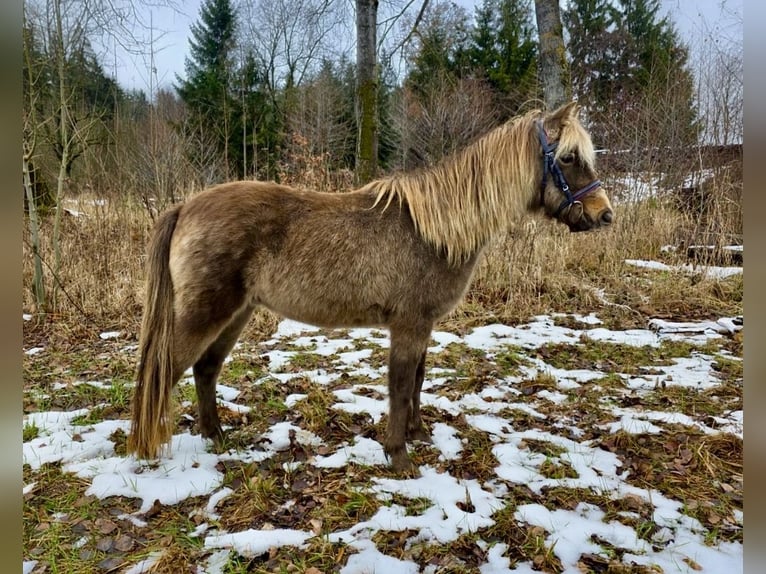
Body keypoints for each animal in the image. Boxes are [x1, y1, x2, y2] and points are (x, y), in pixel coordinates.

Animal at [127, 102, 614, 472]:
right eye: (568, 158)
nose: (604, 214)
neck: (434, 230)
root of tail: (186, 206)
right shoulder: (408, 325)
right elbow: (399, 385)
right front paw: (399, 455)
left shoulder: (423, 326)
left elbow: (417, 380)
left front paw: (417, 434)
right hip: (206, 314)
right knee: (163, 371)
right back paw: (147, 449)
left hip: (237, 313)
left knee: (206, 369)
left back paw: (216, 436)